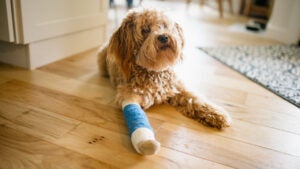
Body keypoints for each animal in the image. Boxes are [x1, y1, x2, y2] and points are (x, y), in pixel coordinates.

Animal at [97, 8, 231, 155]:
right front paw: (146, 142)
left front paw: (216, 114)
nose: (163, 37)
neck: (155, 71)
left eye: (165, 26)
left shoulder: (177, 87)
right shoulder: (128, 95)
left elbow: (196, 100)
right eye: (145, 30)